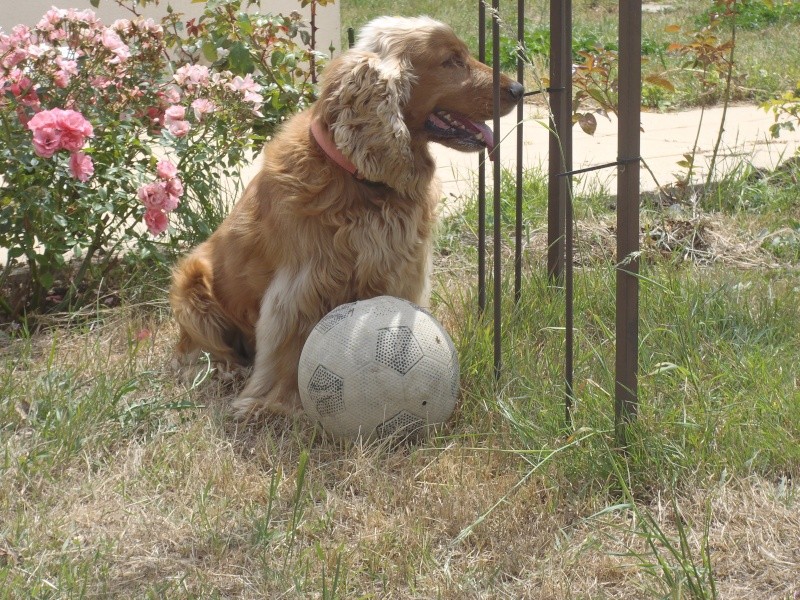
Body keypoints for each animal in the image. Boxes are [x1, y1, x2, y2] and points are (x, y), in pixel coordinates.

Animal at [169, 14, 524, 418]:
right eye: (451, 60)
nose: (519, 89)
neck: (360, 181)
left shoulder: (402, 269)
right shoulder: (301, 286)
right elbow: (287, 349)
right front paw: (271, 405)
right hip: (190, 284)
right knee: (197, 349)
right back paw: (219, 370)